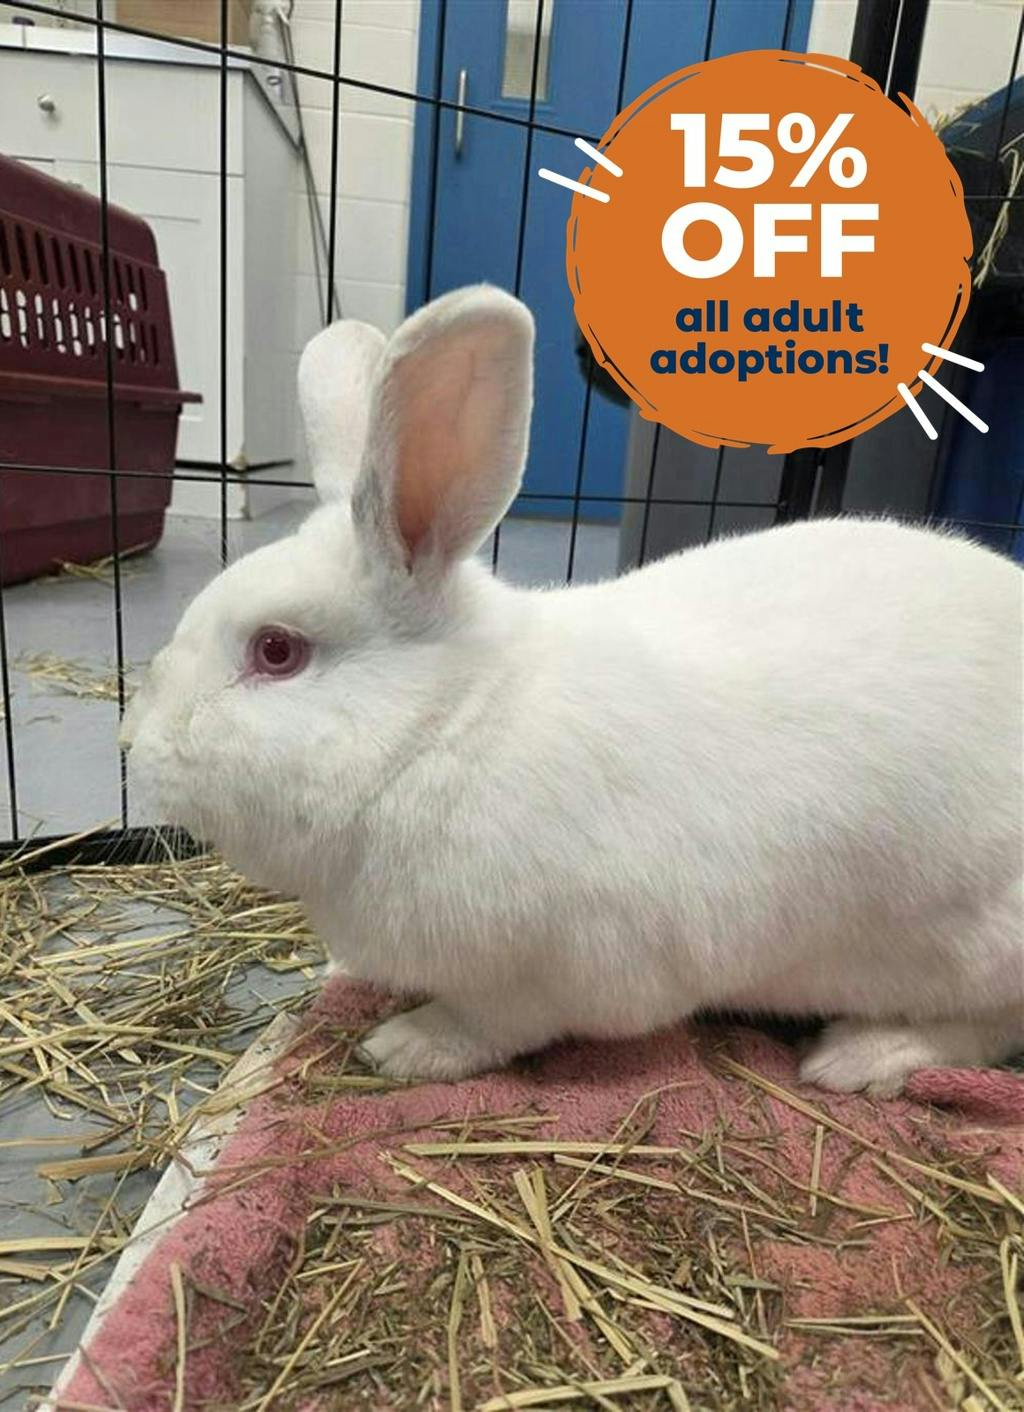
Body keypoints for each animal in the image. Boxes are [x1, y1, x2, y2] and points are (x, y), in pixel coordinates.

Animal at [121, 285, 1024, 1097]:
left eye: (277, 651)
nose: (134, 745)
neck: (441, 730)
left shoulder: (550, 974)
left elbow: (490, 1024)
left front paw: (405, 1047)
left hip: (974, 946)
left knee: (985, 1029)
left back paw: (860, 1056)